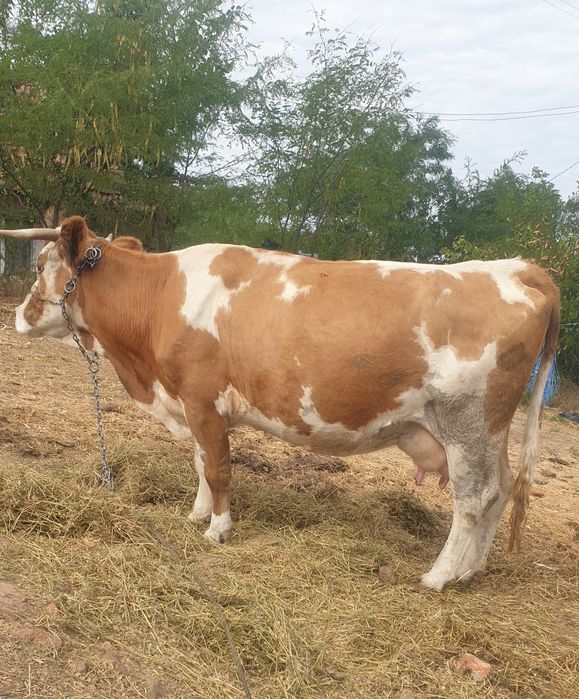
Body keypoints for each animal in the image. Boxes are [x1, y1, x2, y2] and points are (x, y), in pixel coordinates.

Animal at [0, 217, 559, 591]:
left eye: (42, 264)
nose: (19, 316)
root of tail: (516, 269)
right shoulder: (194, 405)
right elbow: (201, 463)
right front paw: (197, 515)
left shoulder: (202, 399)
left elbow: (218, 467)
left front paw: (218, 529)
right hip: (490, 432)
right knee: (501, 490)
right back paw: (471, 571)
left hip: (468, 423)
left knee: (475, 498)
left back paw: (439, 576)